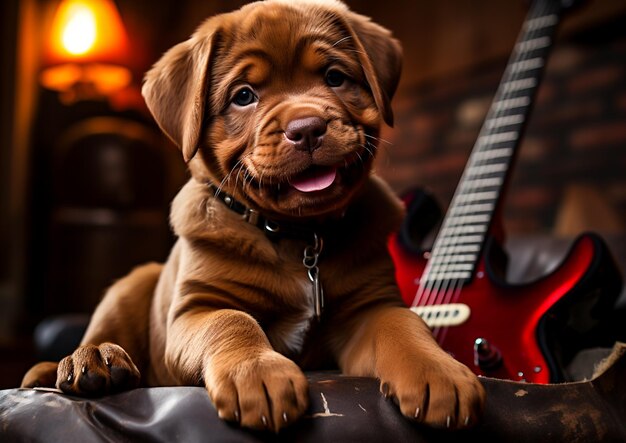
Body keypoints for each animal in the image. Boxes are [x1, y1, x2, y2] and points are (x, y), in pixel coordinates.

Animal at [23, 0, 482, 436]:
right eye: (243, 96)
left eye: (335, 77)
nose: (308, 128)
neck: (299, 236)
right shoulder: (196, 308)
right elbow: (232, 321)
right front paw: (258, 375)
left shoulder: (370, 305)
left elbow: (403, 324)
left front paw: (438, 371)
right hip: (131, 285)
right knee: (100, 335)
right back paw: (90, 362)